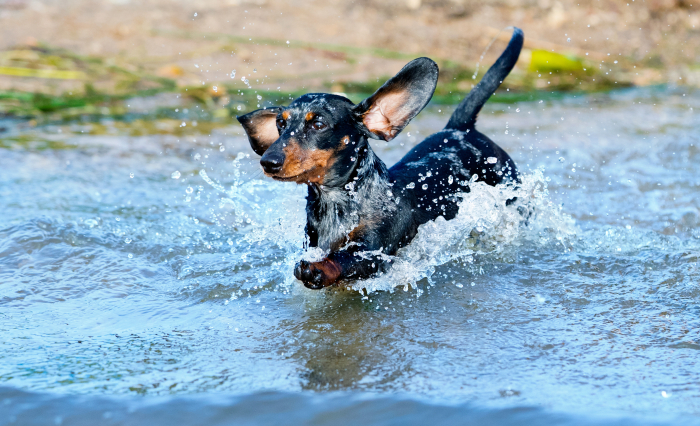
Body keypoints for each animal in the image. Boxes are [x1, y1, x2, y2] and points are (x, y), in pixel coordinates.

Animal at [238, 27, 524, 290]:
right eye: (280, 124)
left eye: (318, 124)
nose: (268, 161)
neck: (337, 203)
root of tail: (460, 129)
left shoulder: (374, 252)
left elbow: (344, 259)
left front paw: (319, 269)